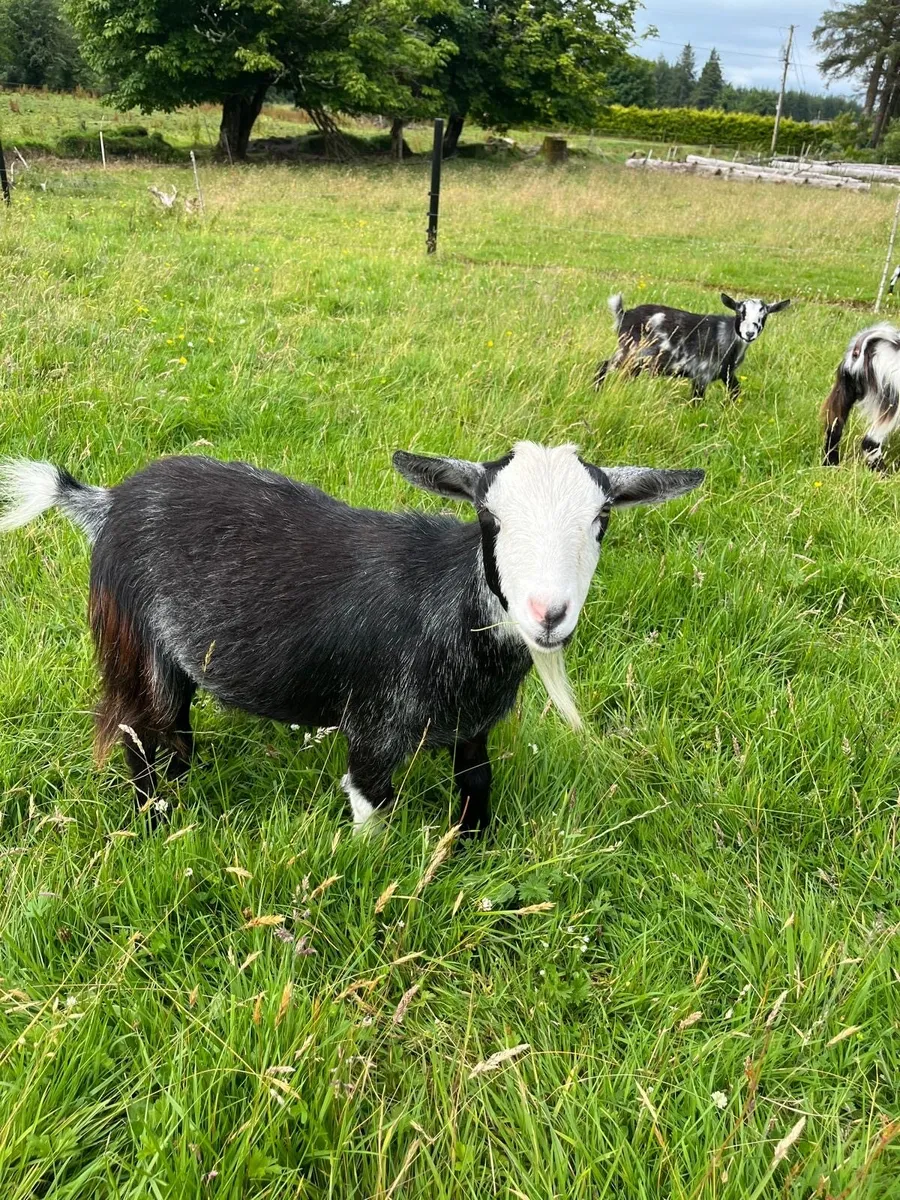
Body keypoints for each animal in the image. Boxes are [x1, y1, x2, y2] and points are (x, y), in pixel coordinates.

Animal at [0, 447, 703, 835]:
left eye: (602, 517)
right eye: (489, 516)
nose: (548, 613)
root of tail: (107, 503)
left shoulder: (474, 726)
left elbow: (476, 786)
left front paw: (473, 854)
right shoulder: (374, 726)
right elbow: (372, 811)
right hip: (135, 642)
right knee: (139, 736)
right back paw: (157, 823)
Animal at [595, 292, 790, 400]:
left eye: (764, 315)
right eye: (739, 312)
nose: (749, 333)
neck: (726, 336)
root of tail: (624, 315)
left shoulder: (726, 372)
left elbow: (735, 392)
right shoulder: (702, 374)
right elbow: (697, 401)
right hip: (629, 351)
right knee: (603, 365)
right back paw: (597, 391)